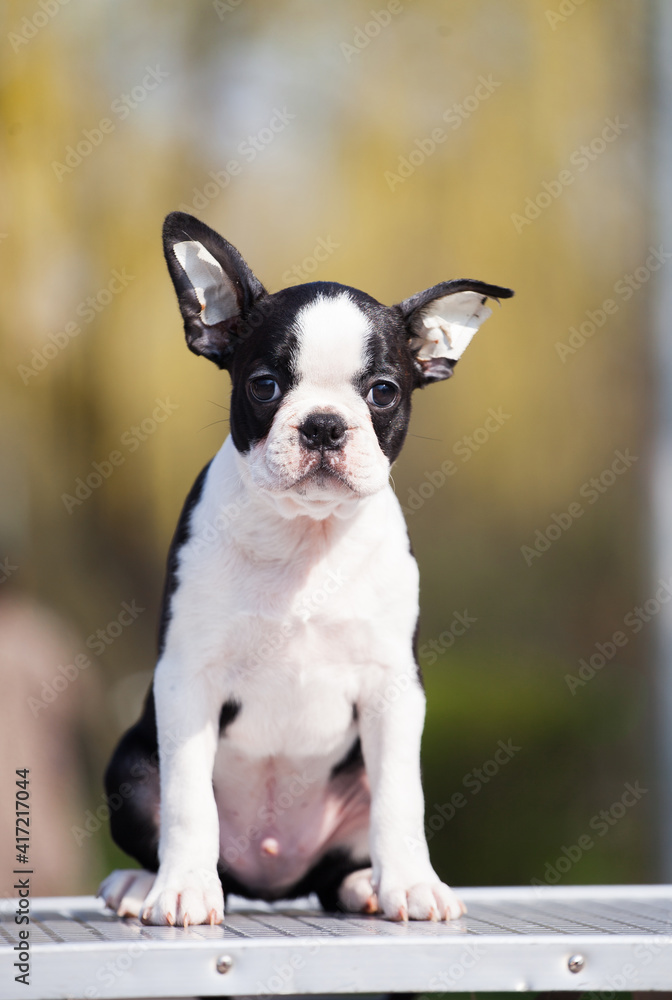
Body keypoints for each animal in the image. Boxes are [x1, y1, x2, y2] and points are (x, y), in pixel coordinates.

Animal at [97, 213, 512, 928]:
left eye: (383, 392)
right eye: (263, 385)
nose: (322, 425)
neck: (305, 539)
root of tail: (272, 879)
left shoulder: (393, 686)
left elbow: (402, 800)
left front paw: (413, 883)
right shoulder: (186, 678)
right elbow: (187, 800)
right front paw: (181, 890)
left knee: (336, 866)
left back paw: (367, 883)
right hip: (128, 765)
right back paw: (139, 883)